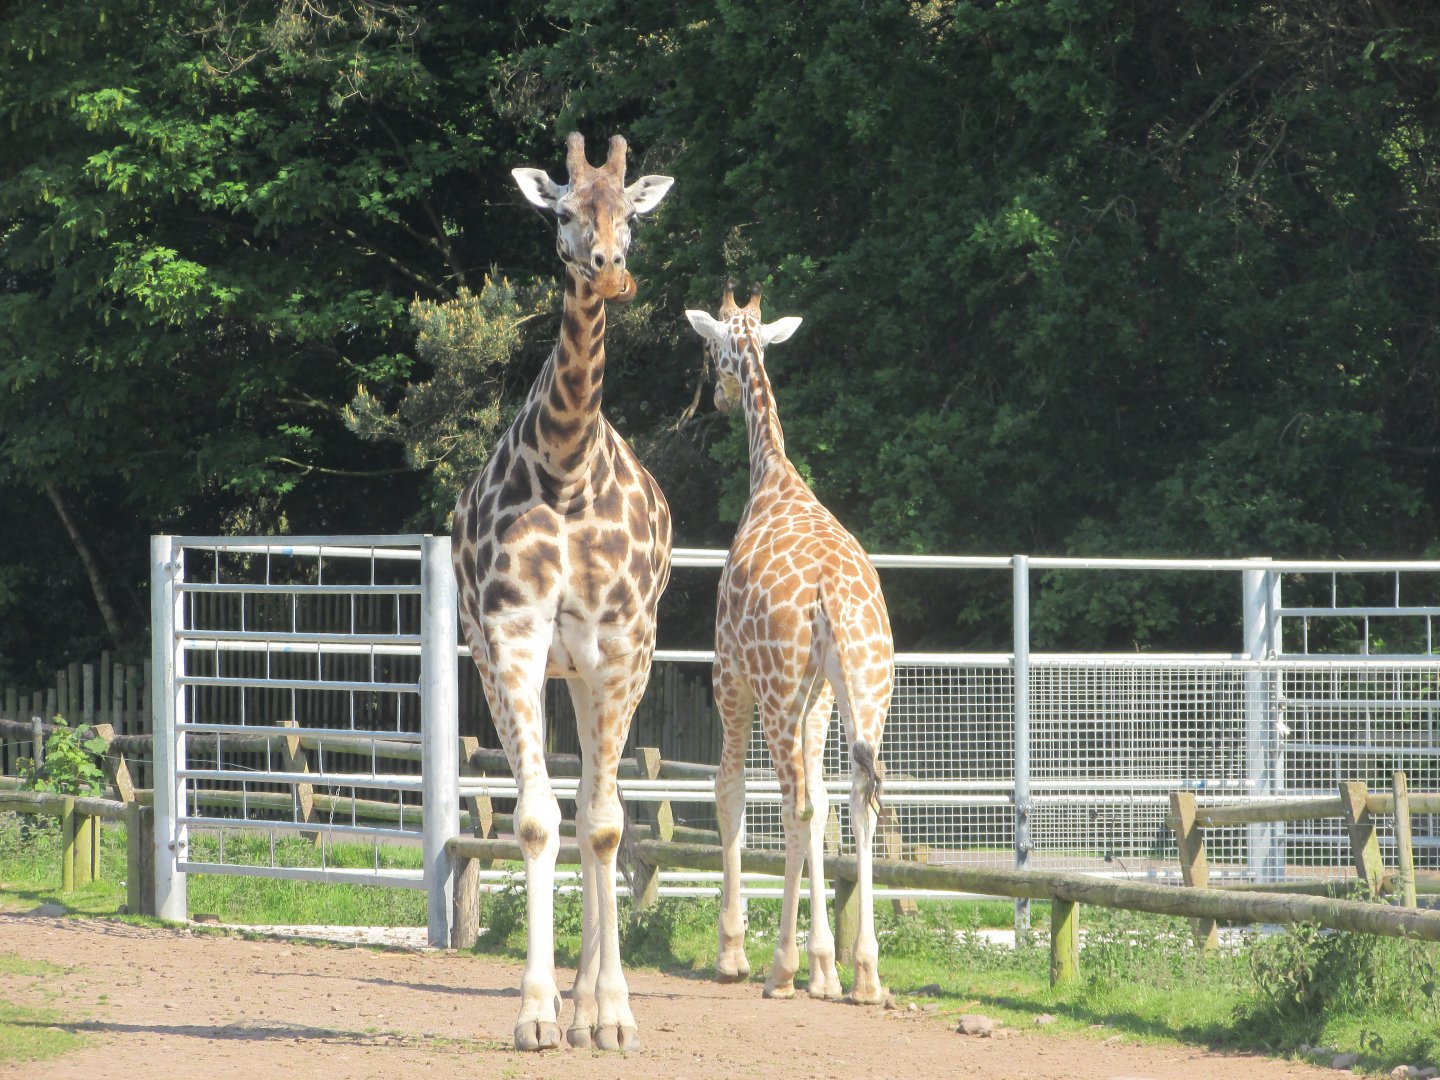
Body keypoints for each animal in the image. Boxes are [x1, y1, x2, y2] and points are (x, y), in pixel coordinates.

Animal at [685, 283, 894, 1005]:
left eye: (711, 350)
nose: (716, 399)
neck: (771, 474)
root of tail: (831, 595)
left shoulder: (728, 672)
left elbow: (729, 793)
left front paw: (734, 952)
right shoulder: (821, 697)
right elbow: (828, 804)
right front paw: (825, 965)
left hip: (774, 690)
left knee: (793, 802)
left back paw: (782, 968)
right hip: (869, 683)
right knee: (858, 798)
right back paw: (864, 975)